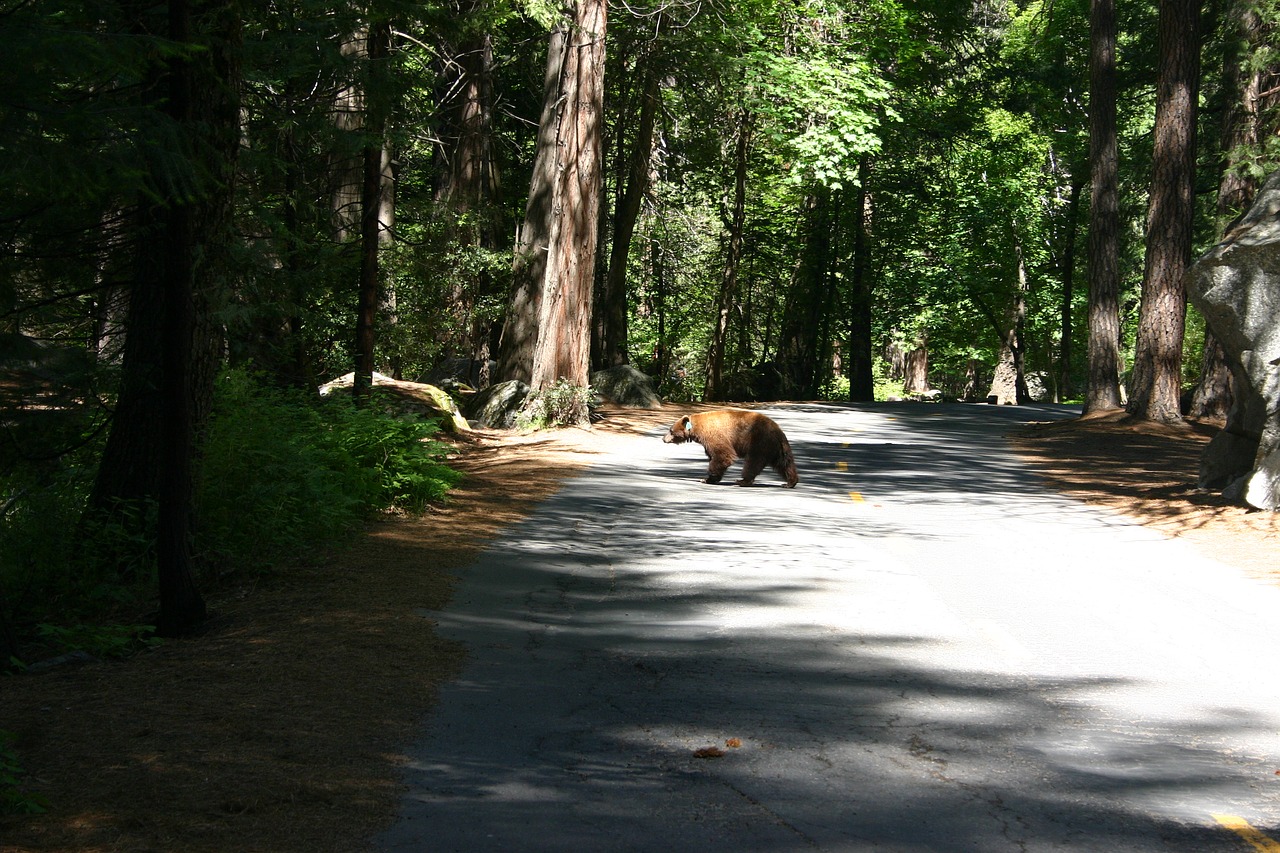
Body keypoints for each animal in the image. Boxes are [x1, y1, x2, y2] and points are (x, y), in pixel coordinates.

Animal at [660, 409, 798, 489]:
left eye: (670, 430)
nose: (663, 438)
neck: (696, 429)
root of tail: (778, 430)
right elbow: (713, 455)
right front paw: (708, 478)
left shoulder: (714, 435)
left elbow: (723, 455)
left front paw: (708, 478)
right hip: (776, 448)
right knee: (784, 463)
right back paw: (790, 482)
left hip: (759, 441)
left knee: (753, 462)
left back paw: (742, 480)